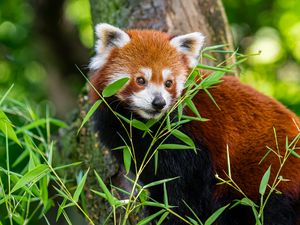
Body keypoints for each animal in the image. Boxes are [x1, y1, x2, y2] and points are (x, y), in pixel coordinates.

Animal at [88, 23, 300, 224]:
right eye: (140, 80)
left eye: (168, 83)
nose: (159, 102)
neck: (145, 125)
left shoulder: (190, 140)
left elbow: (185, 190)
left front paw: (168, 215)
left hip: (271, 180)